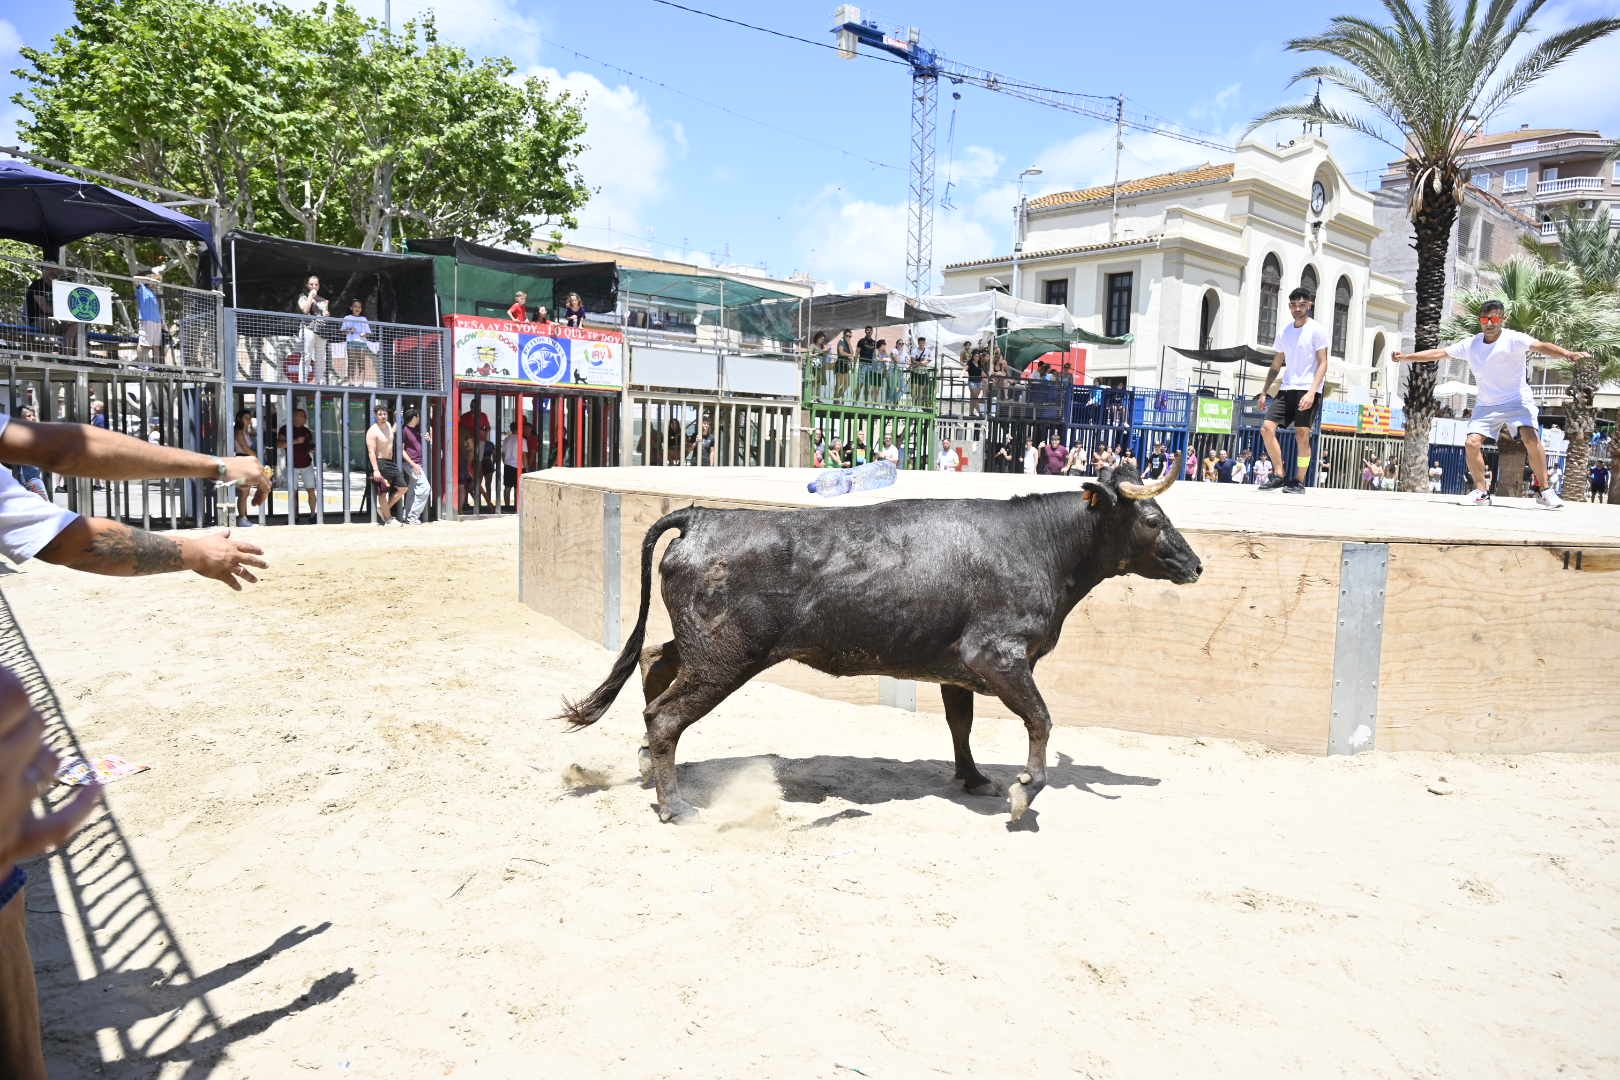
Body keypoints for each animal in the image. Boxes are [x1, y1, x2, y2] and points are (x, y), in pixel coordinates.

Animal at [563, 459, 1198, 829]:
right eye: (1152, 518)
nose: (1195, 564)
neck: (1038, 545)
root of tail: (701, 517)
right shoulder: (997, 657)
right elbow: (1040, 721)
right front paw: (1022, 795)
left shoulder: (957, 669)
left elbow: (961, 724)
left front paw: (974, 778)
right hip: (726, 657)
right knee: (666, 715)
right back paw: (675, 806)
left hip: (703, 648)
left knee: (653, 663)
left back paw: (648, 768)